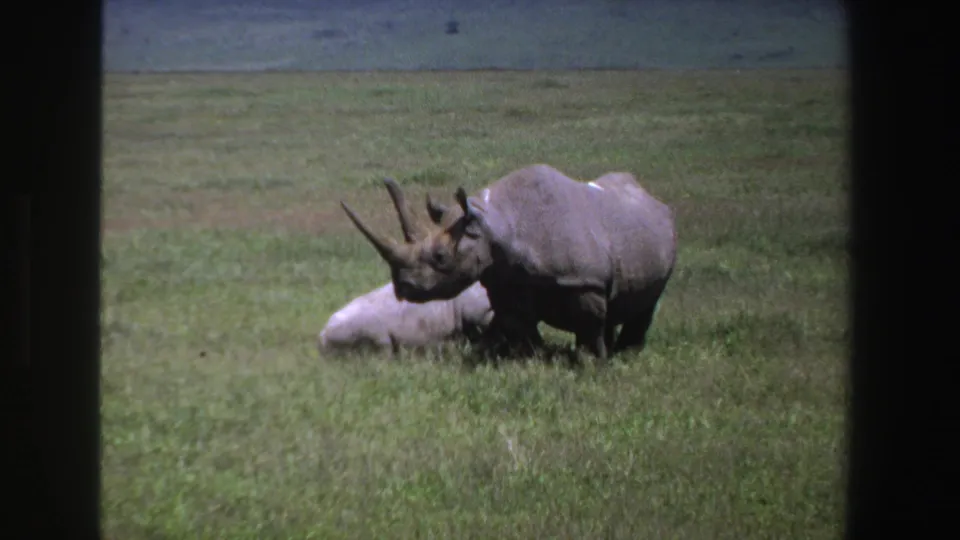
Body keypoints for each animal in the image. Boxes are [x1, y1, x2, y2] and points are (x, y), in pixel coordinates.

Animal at [339, 164, 678, 361]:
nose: (403, 288)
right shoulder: (505, 280)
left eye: (440, 257)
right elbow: (519, 326)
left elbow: (589, 327)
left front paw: (592, 365)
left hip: (660, 233)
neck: (494, 223)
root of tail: (652, 198)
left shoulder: (584, 281)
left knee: (648, 303)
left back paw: (627, 355)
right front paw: (533, 360)